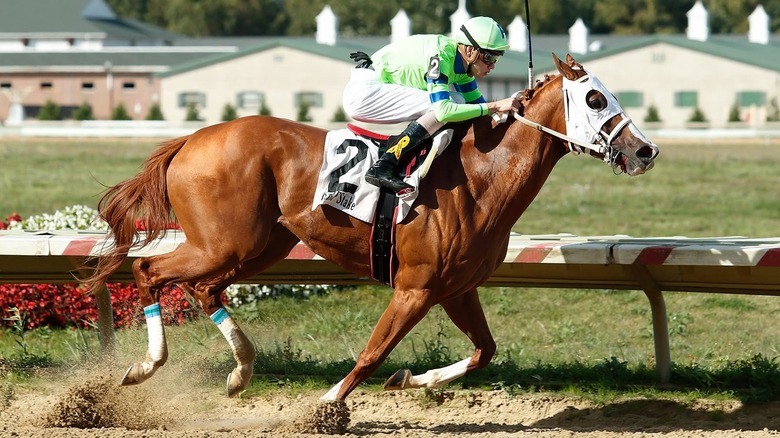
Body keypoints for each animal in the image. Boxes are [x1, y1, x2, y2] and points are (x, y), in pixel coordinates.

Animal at [86, 53, 659, 403]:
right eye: (594, 99)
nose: (645, 151)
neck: (482, 175)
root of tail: (191, 139)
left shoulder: (456, 288)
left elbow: (484, 351)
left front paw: (411, 380)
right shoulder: (415, 287)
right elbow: (372, 351)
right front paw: (326, 403)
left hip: (260, 245)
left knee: (201, 287)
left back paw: (238, 370)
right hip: (223, 242)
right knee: (149, 269)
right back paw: (149, 365)